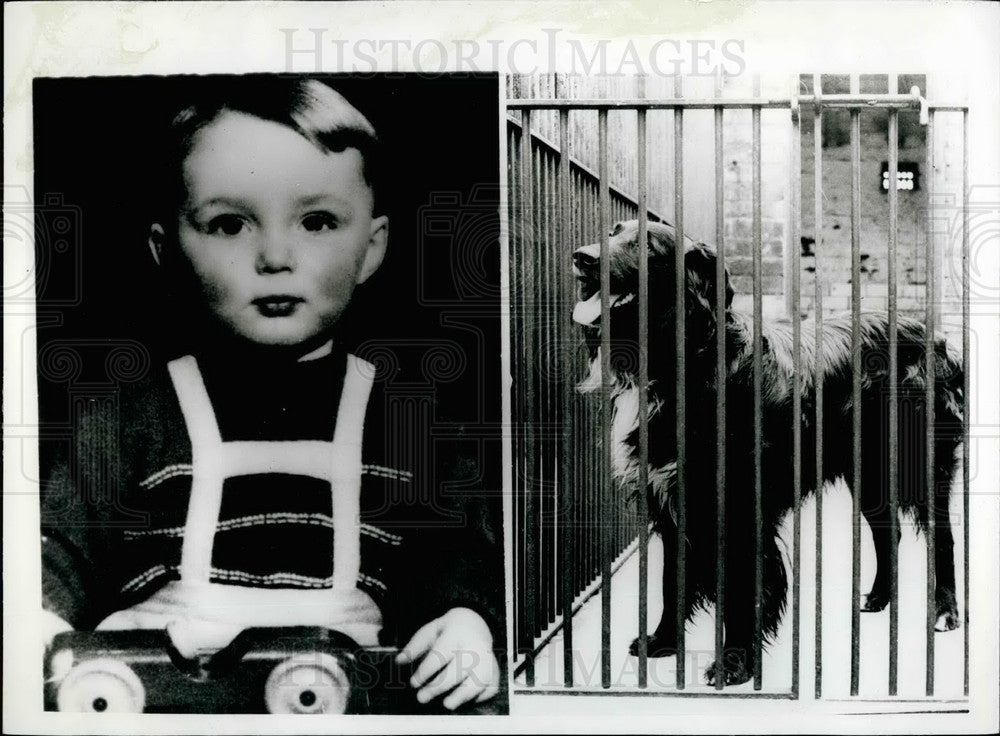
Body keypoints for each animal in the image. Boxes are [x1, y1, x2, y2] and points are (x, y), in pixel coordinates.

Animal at [576, 221, 964, 688]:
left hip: (920, 468)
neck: (687, 362)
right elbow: (674, 580)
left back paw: (944, 611)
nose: (581, 257)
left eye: (647, 247)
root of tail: (936, 338)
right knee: (887, 533)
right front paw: (662, 642)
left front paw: (734, 663)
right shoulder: (671, 503)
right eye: (614, 231)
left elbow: (744, 590)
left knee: (943, 536)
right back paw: (877, 598)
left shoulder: (741, 510)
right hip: (868, 475)